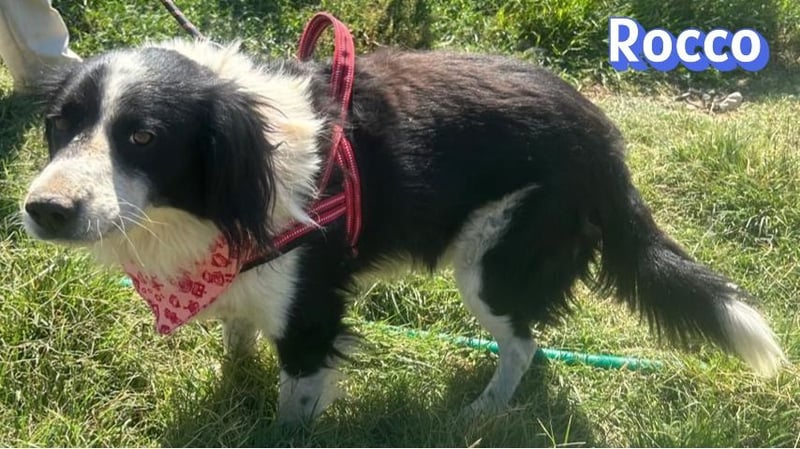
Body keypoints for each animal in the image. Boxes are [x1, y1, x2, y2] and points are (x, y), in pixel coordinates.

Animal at [21, 38, 785, 423]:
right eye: (59, 123)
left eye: (144, 137)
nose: (43, 210)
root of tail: (605, 138)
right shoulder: (245, 282)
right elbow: (238, 342)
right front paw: (232, 389)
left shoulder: (311, 316)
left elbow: (292, 412)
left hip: (491, 264)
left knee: (524, 342)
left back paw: (482, 413)